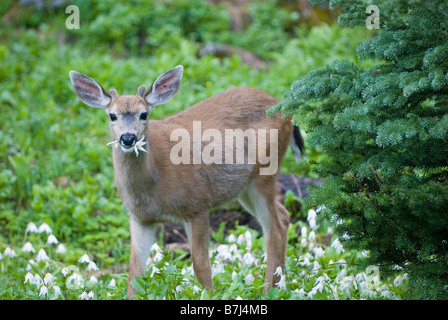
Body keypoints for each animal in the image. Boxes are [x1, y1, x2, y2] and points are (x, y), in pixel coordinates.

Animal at [68, 65, 304, 298]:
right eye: (112, 116)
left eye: (144, 114)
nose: (128, 138)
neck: (153, 185)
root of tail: (284, 107)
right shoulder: (139, 218)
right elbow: (134, 272)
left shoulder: (197, 205)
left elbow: (200, 266)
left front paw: (210, 295)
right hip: (244, 187)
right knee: (283, 216)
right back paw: (281, 284)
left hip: (264, 173)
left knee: (274, 226)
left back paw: (268, 290)